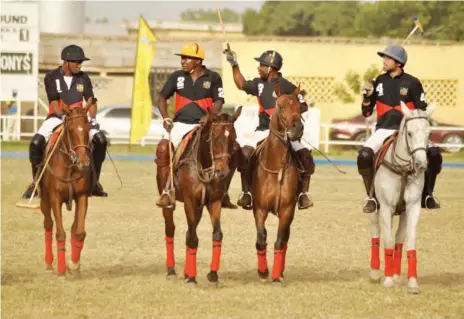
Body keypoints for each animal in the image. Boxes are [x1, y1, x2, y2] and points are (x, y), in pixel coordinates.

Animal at [40, 100, 94, 278]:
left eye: (87, 129)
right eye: (70, 130)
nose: (84, 162)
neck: (69, 164)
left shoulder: (82, 196)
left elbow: (79, 232)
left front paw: (74, 265)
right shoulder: (55, 198)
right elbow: (60, 233)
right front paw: (62, 268)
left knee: (73, 228)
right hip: (44, 199)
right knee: (48, 224)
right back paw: (49, 262)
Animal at [158, 107, 243, 288]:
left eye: (233, 138)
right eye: (215, 138)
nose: (222, 172)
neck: (204, 163)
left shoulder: (213, 202)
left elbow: (217, 234)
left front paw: (213, 275)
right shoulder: (189, 201)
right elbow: (193, 238)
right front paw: (191, 278)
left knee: (189, 232)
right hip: (169, 201)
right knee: (170, 229)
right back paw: (171, 270)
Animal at [250, 82, 304, 284]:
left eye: (299, 107)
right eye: (280, 106)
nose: (297, 129)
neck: (276, 166)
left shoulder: (287, 209)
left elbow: (280, 241)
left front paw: (274, 275)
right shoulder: (259, 208)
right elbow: (261, 239)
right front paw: (263, 271)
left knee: (285, 239)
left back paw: (279, 272)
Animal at [370, 102, 436, 296]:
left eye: (429, 134)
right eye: (410, 133)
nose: (421, 165)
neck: (403, 171)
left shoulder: (412, 208)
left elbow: (409, 241)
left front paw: (412, 283)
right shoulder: (385, 208)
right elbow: (387, 241)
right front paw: (387, 280)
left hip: (403, 213)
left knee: (399, 239)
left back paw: (396, 274)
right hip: (374, 208)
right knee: (375, 233)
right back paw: (375, 273)